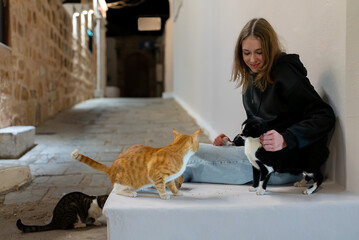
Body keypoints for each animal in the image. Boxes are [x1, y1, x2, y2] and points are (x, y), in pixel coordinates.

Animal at [70, 128, 200, 200]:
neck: (176, 149)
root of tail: (111, 168)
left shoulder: (169, 178)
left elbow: (172, 186)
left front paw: (177, 192)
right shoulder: (155, 173)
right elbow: (160, 185)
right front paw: (163, 195)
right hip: (124, 181)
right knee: (116, 190)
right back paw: (130, 192)